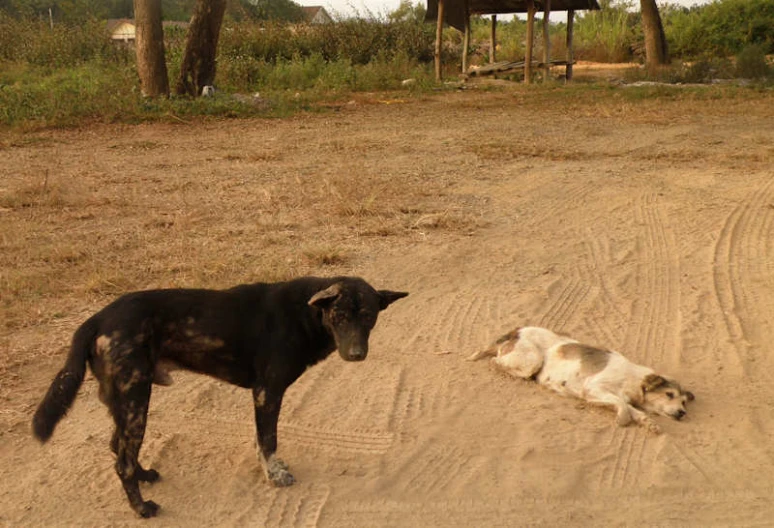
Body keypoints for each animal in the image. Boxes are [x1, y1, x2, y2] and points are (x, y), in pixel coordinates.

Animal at [31, 278, 406, 516]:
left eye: (368, 317)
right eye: (339, 316)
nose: (356, 354)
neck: (305, 314)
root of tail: (97, 318)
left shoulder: (265, 395)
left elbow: (263, 442)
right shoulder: (267, 393)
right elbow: (268, 440)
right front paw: (274, 476)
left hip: (124, 402)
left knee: (117, 448)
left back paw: (144, 476)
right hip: (136, 400)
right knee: (121, 461)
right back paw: (142, 508)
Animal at [466, 326, 696, 434]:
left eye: (684, 402)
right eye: (669, 394)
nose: (683, 413)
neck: (633, 379)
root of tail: (518, 329)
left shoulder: (605, 395)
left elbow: (634, 410)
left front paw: (648, 423)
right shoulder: (594, 388)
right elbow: (623, 407)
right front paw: (623, 420)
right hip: (532, 361)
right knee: (496, 361)